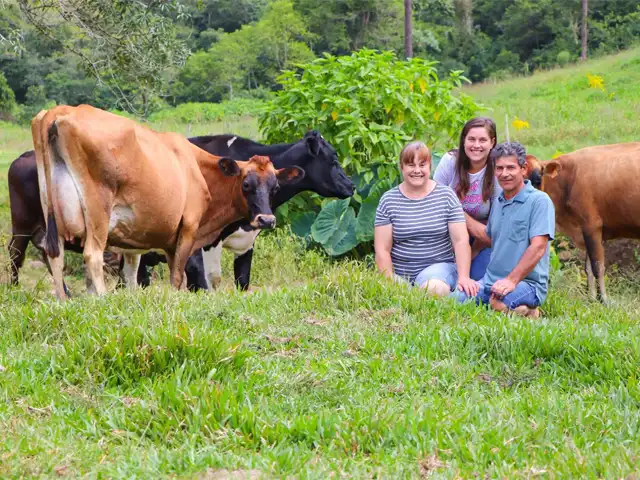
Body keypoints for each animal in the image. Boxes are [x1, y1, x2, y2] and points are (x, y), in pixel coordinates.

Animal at [29, 104, 300, 300]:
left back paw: (64, 301)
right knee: (92, 256)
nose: (267, 219)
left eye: (275, 187)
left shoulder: (143, 243)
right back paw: (102, 299)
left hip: (51, 211)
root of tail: (59, 111)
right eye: (246, 184)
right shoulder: (187, 229)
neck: (196, 168)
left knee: (55, 255)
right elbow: (178, 278)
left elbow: (132, 275)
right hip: (98, 212)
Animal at [138, 129, 356, 290]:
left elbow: (242, 281)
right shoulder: (203, 244)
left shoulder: (247, 242)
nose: (352, 186)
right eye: (333, 159)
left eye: (276, 187)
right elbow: (205, 281)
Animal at [524, 142, 640, 304]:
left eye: (538, 179)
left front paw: (604, 300)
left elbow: (598, 266)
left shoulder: (591, 225)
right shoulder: (584, 230)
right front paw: (592, 299)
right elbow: (588, 268)